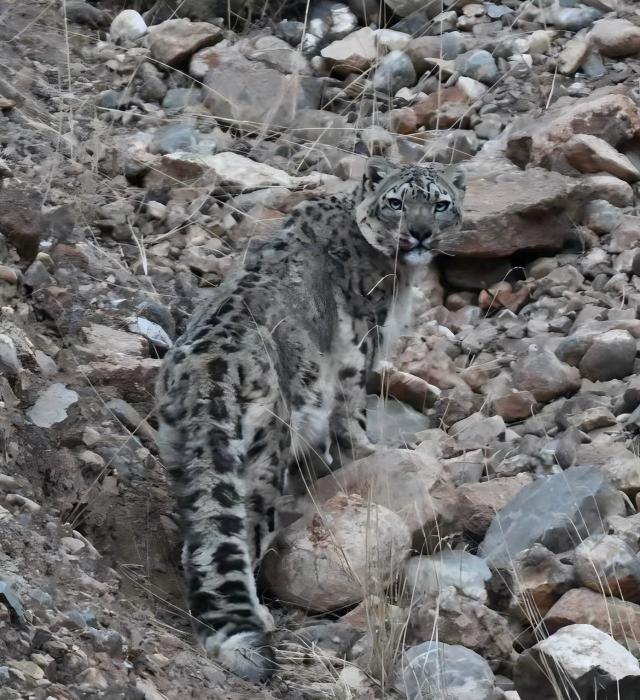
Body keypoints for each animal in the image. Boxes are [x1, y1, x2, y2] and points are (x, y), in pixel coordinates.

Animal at [155, 157, 466, 682]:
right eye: (396, 201)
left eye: (440, 203)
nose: (421, 233)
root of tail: (206, 373)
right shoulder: (362, 346)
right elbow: (352, 414)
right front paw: (369, 450)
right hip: (263, 458)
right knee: (247, 527)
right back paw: (260, 614)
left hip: (181, 451)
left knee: (199, 536)